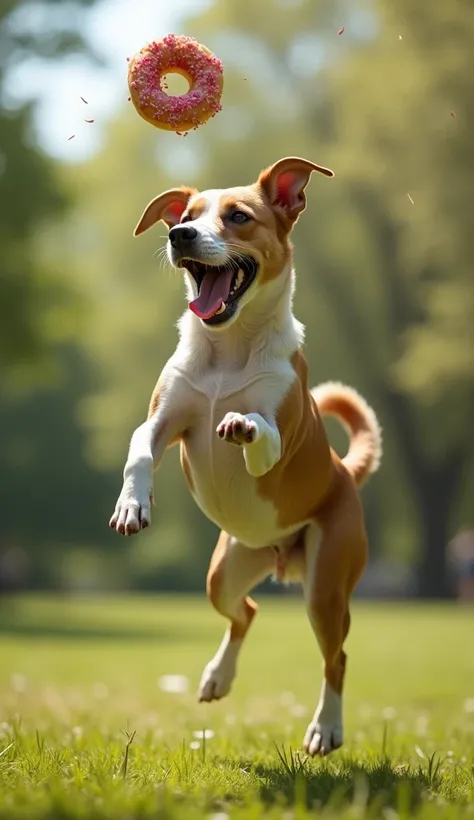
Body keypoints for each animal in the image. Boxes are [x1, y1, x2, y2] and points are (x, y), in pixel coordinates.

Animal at [110, 159, 382, 756]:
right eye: (185, 216)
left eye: (238, 217)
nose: (180, 235)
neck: (228, 348)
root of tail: (344, 472)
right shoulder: (166, 420)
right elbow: (140, 445)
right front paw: (132, 505)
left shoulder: (279, 441)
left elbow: (263, 434)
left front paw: (240, 424)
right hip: (226, 571)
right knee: (247, 611)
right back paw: (217, 676)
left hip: (326, 584)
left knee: (337, 656)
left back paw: (326, 729)